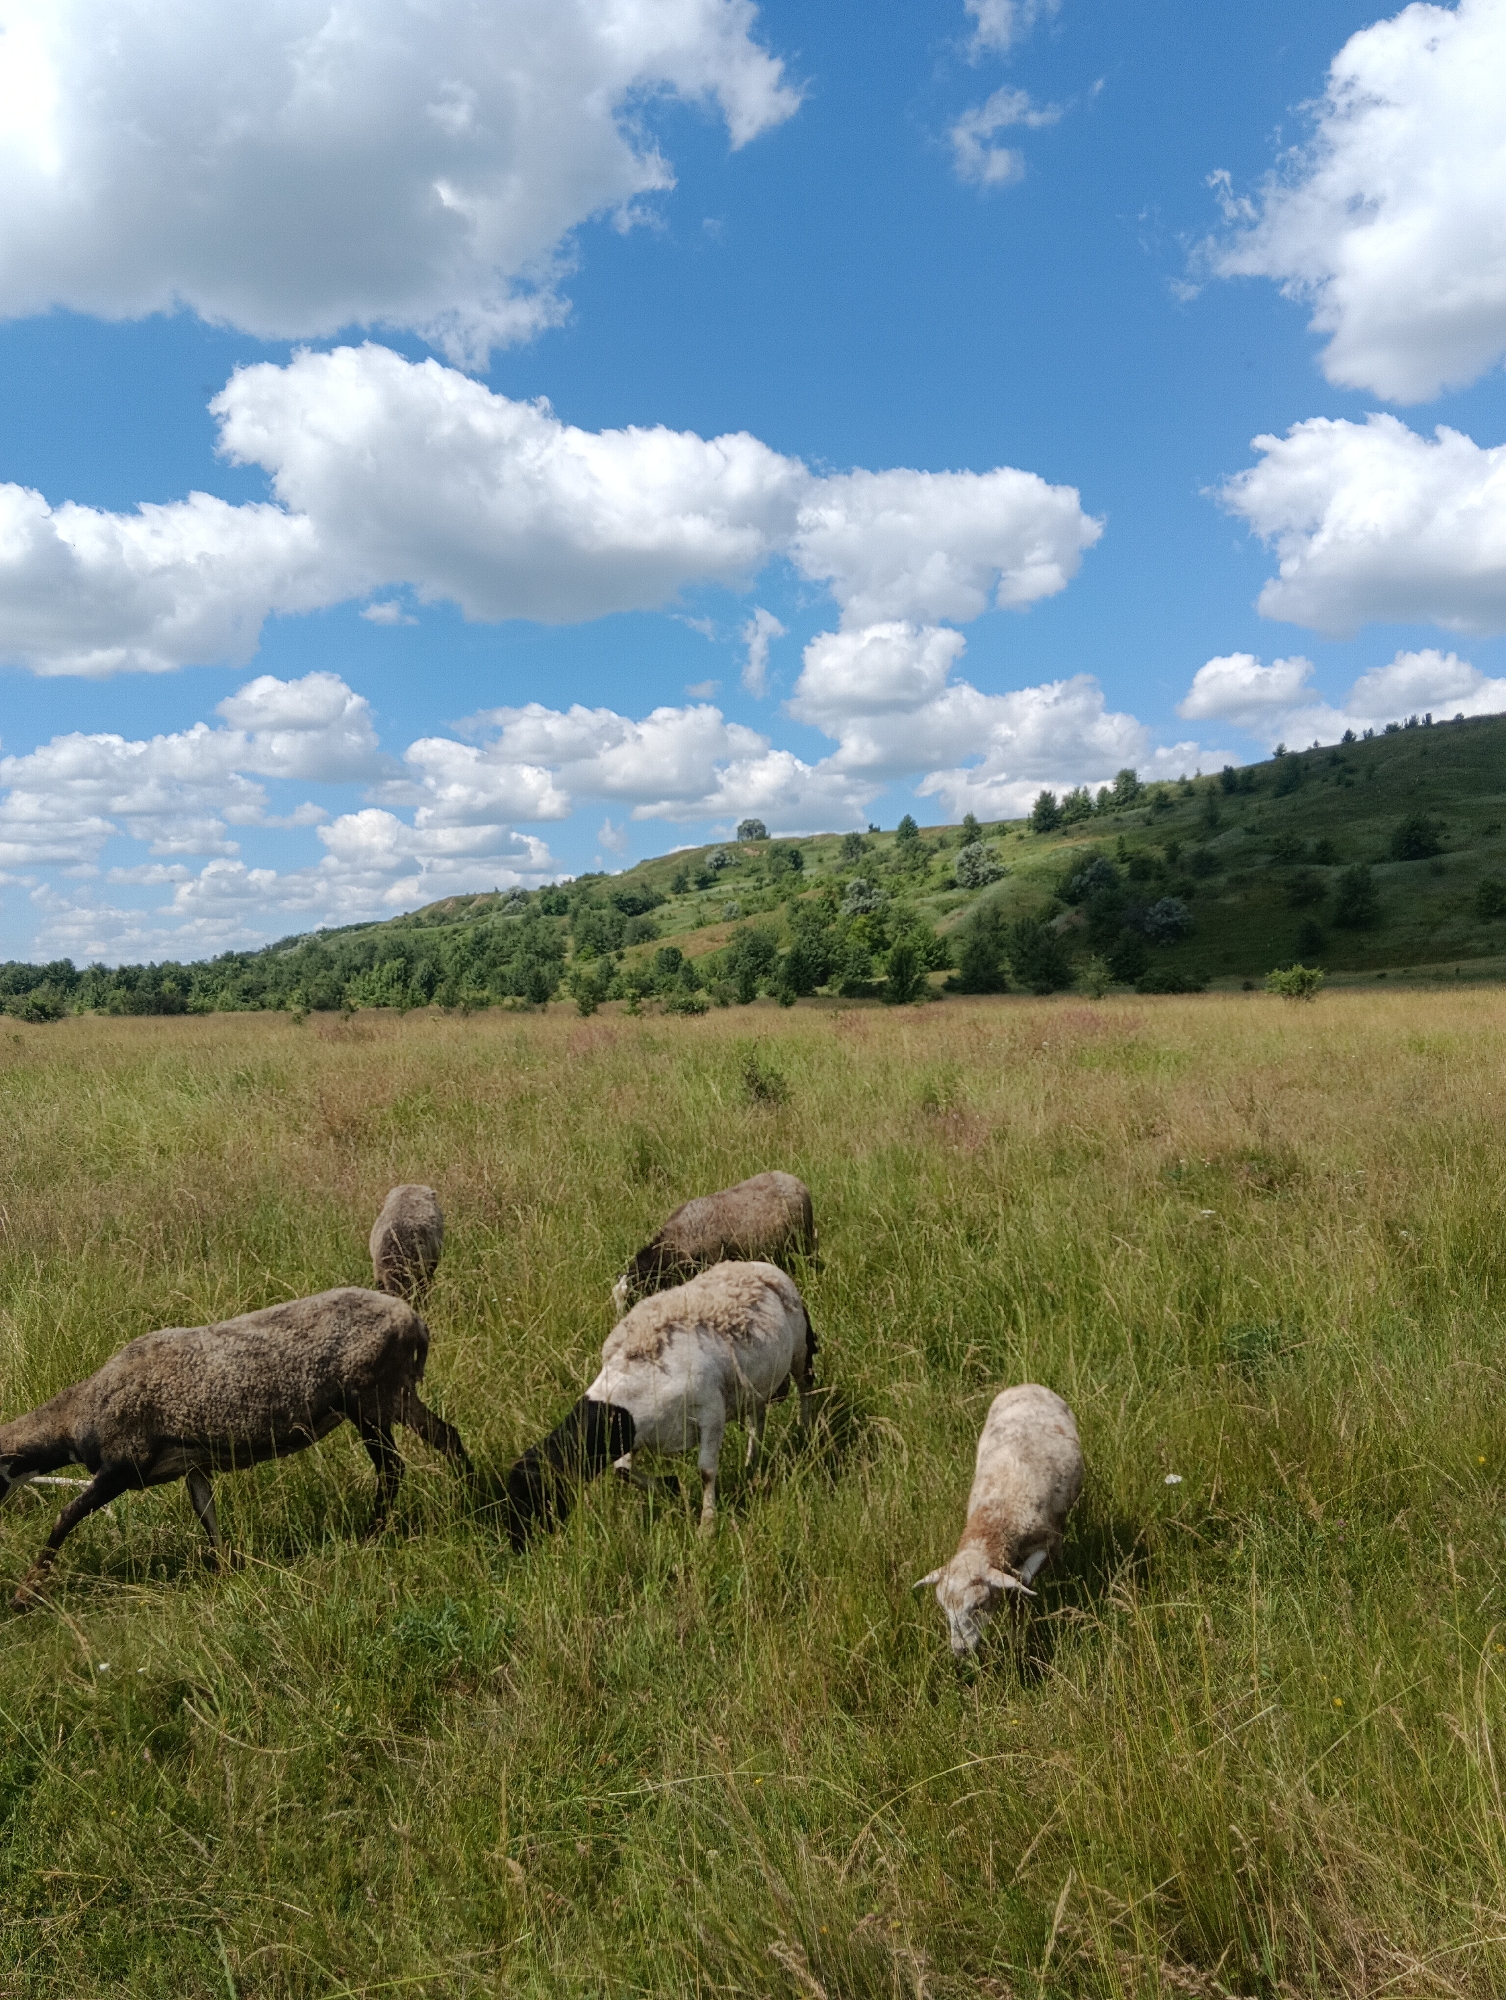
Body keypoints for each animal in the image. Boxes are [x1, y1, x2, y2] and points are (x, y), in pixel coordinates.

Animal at [0, 1287, 471, 1610]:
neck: (80, 1414)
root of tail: (414, 1321)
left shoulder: (122, 1467)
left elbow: (66, 1517)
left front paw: (24, 1594)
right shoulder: (192, 1465)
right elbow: (207, 1515)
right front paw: (228, 1572)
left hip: (368, 1399)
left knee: (392, 1467)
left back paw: (372, 1533)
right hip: (397, 1395)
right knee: (448, 1436)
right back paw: (471, 1498)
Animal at [504, 1260, 816, 1543]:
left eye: (532, 1492)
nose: (519, 1544)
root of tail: (758, 1264)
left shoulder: (711, 1414)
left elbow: (706, 1471)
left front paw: (706, 1527)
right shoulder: (630, 1433)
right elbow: (622, 1470)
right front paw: (670, 1486)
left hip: (800, 1351)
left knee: (805, 1389)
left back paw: (805, 1430)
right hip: (756, 1383)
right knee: (757, 1418)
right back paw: (752, 1461)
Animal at [914, 1384, 1082, 1659]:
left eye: (979, 1604)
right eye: (944, 1609)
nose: (960, 1651)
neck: (996, 1516)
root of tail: (1027, 1385)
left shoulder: (1048, 1539)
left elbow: (1023, 1581)